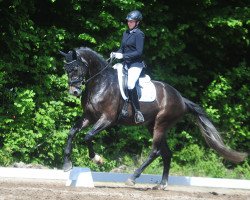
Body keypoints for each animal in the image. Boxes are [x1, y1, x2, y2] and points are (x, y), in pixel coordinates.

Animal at [59, 47, 247, 189]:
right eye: (66, 70)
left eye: (75, 68)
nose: (74, 92)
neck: (100, 83)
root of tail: (181, 99)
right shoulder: (89, 117)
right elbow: (72, 132)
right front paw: (67, 164)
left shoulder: (107, 119)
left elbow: (87, 136)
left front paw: (97, 159)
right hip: (152, 126)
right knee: (167, 153)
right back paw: (161, 184)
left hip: (161, 124)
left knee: (155, 152)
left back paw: (132, 178)